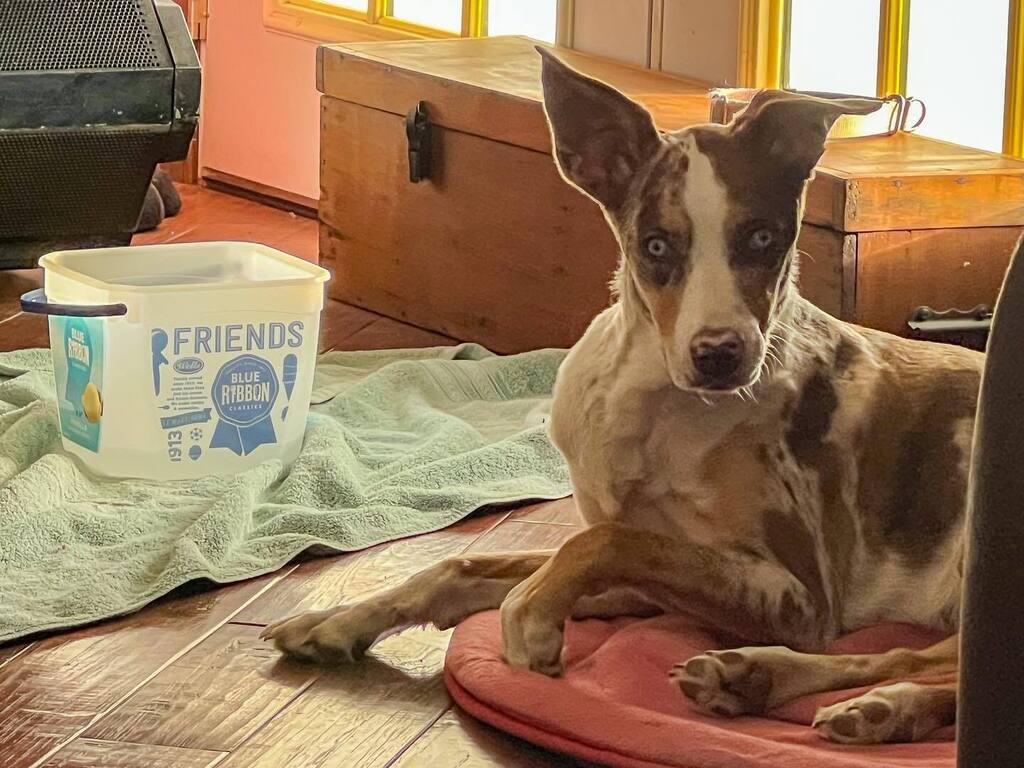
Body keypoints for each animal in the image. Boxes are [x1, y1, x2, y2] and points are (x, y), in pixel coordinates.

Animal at [266, 49, 991, 745]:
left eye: (762, 237)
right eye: (656, 246)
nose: (721, 354)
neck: (652, 403)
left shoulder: (799, 595)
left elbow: (600, 543)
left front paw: (529, 619)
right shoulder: (656, 579)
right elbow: (471, 563)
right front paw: (338, 620)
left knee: (911, 660)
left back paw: (832, 694)